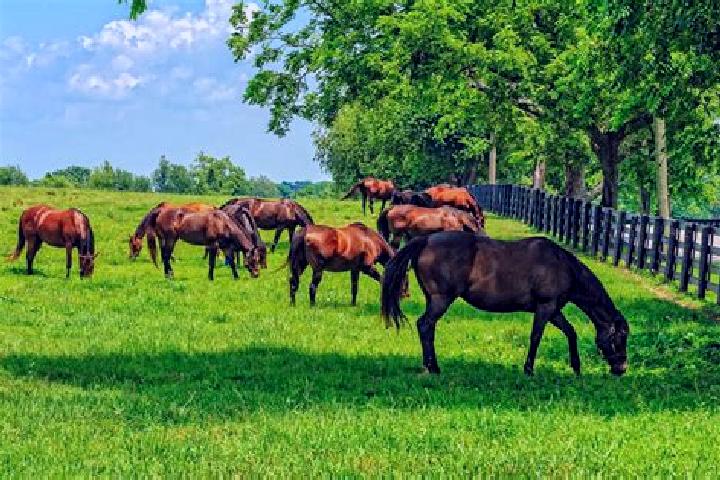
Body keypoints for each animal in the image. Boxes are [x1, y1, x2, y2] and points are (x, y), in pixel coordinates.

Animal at [381, 231, 629, 377]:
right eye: (619, 338)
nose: (621, 368)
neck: (562, 265)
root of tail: (426, 240)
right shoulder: (545, 308)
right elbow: (536, 337)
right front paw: (529, 370)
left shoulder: (554, 310)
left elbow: (570, 332)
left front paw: (576, 367)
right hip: (441, 299)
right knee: (425, 325)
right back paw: (433, 367)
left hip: (433, 300)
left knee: (427, 327)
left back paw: (429, 365)